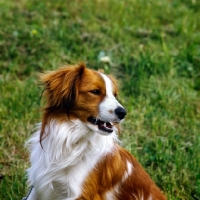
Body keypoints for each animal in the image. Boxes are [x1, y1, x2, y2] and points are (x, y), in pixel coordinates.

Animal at [25, 63, 166, 199]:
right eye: (95, 91)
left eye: (115, 95)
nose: (123, 112)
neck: (71, 140)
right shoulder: (39, 185)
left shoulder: (80, 194)